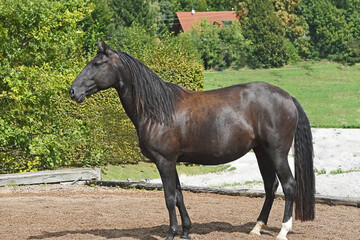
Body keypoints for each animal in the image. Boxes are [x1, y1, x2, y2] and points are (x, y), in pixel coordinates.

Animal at [69, 39, 314, 240]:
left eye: (97, 64)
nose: (72, 91)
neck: (158, 110)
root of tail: (287, 97)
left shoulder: (164, 161)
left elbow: (169, 197)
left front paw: (171, 233)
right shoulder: (172, 162)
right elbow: (179, 195)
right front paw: (186, 231)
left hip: (277, 153)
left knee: (289, 185)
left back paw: (283, 231)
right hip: (262, 152)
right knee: (270, 186)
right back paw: (257, 227)